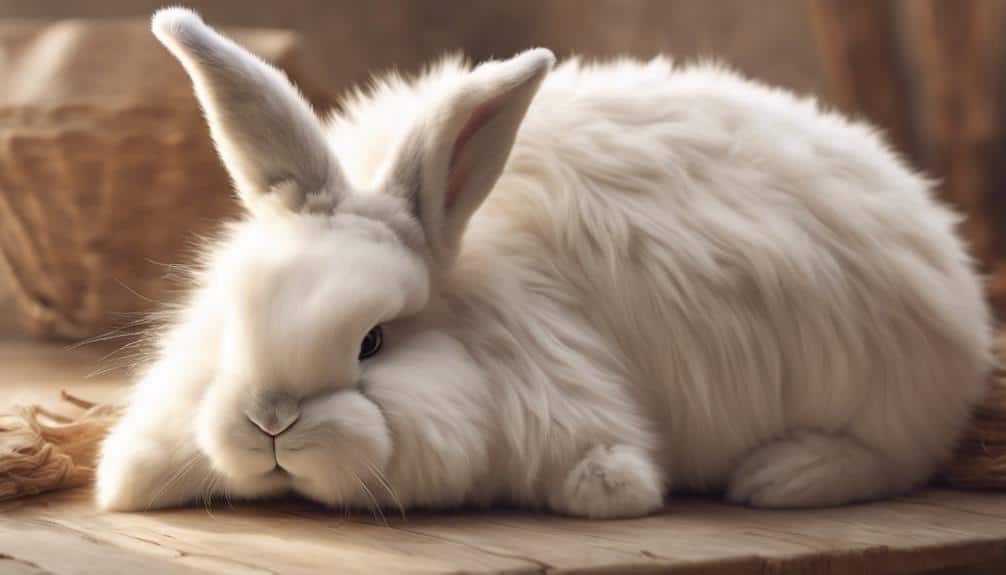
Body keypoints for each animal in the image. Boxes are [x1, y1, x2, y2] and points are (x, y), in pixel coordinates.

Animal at [95, 7, 993, 518]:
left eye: (374, 342)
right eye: (235, 320)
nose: (271, 419)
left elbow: (613, 476)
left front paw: (610, 488)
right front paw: (132, 477)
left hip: (880, 393)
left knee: (893, 457)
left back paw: (780, 475)